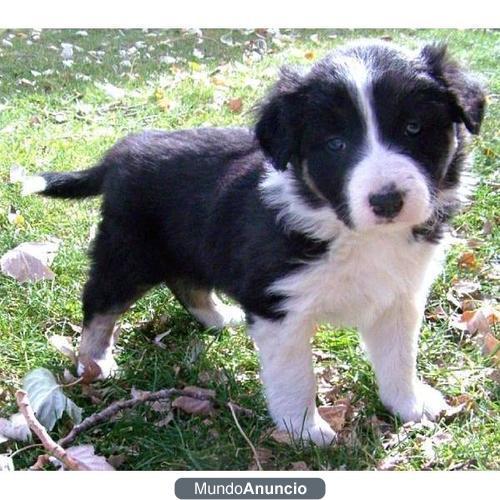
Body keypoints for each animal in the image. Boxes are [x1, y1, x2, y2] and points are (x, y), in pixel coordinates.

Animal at [24, 40, 484, 446]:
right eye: (336, 144)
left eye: (413, 128)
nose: (387, 201)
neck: (350, 230)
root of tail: (119, 153)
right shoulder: (277, 305)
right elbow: (297, 376)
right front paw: (305, 431)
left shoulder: (398, 296)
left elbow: (399, 359)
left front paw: (410, 405)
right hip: (128, 251)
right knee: (99, 302)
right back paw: (94, 362)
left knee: (185, 282)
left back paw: (218, 318)